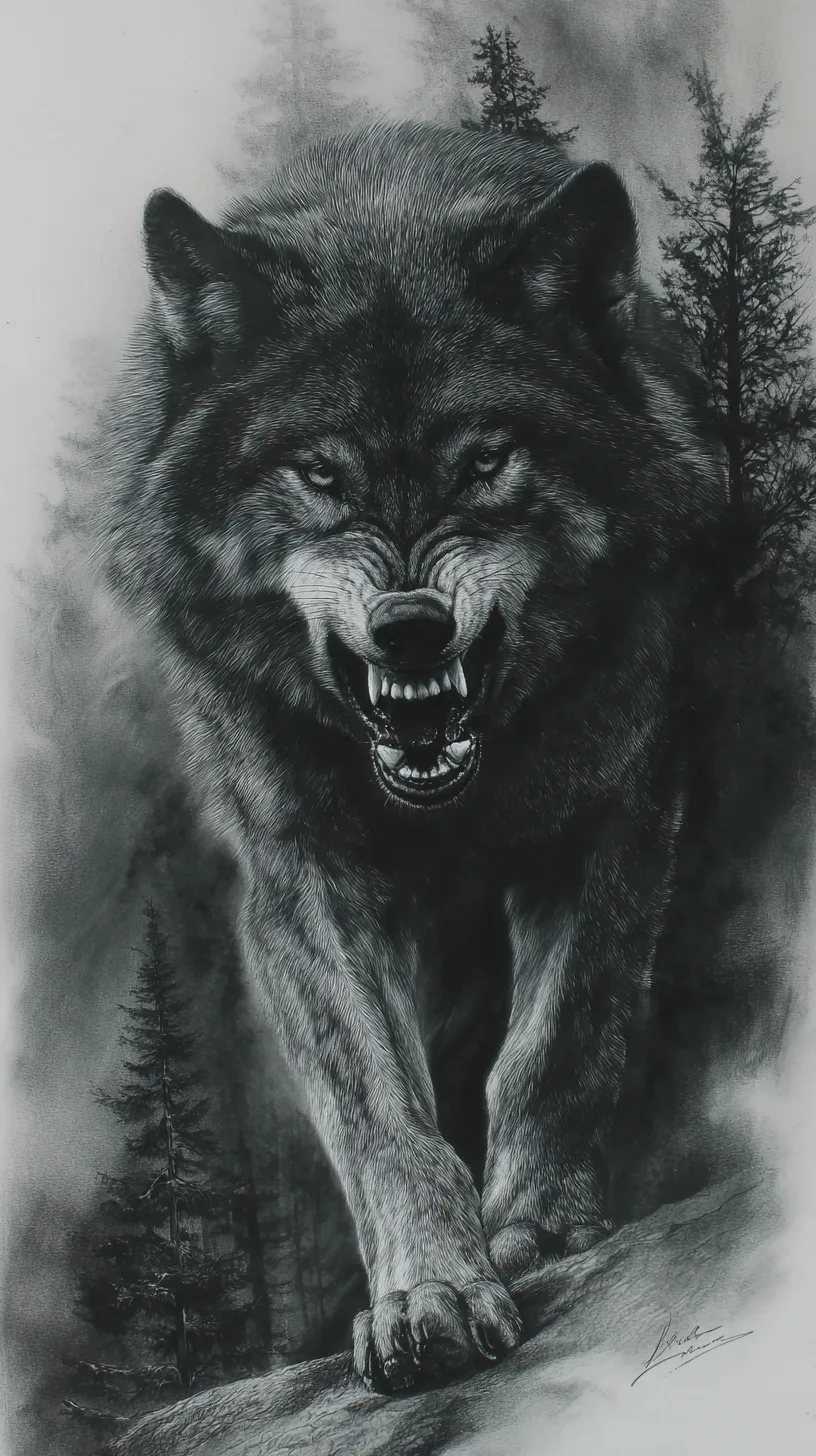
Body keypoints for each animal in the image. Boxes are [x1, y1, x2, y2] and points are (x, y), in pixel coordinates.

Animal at [103, 121, 725, 1392]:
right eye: (321, 474)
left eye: (485, 461)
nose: (409, 628)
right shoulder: (304, 879)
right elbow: (384, 1113)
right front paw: (430, 1292)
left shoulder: (617, 805)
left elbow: (561, 1038)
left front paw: (534, 1226)